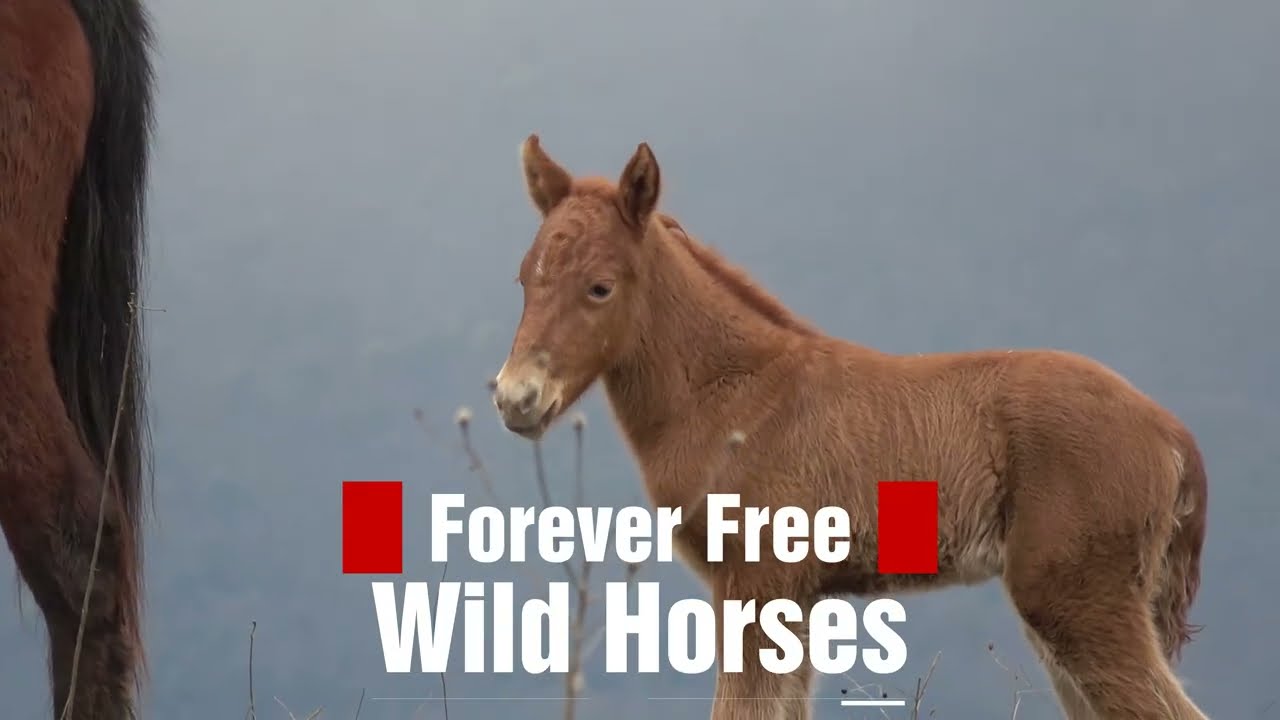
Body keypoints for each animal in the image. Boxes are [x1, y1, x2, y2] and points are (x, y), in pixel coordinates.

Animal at [489, 134, 1211, 720]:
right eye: (523, 278)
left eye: (600, 287)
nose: (516, 398)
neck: (737, 395)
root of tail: (1173, 434)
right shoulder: (797, 602)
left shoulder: (758, 584)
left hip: (1078, 601)